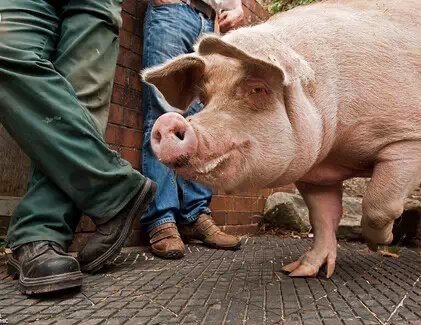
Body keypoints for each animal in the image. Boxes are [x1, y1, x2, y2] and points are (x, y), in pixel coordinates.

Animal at [141, 0, 420, 278]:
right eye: (204, 99)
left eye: (258, 89)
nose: (167, 121)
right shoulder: (316, 172)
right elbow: (323, 217)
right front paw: (298, 272)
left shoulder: (407, 139)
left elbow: (378, 204)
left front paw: (380, 243)